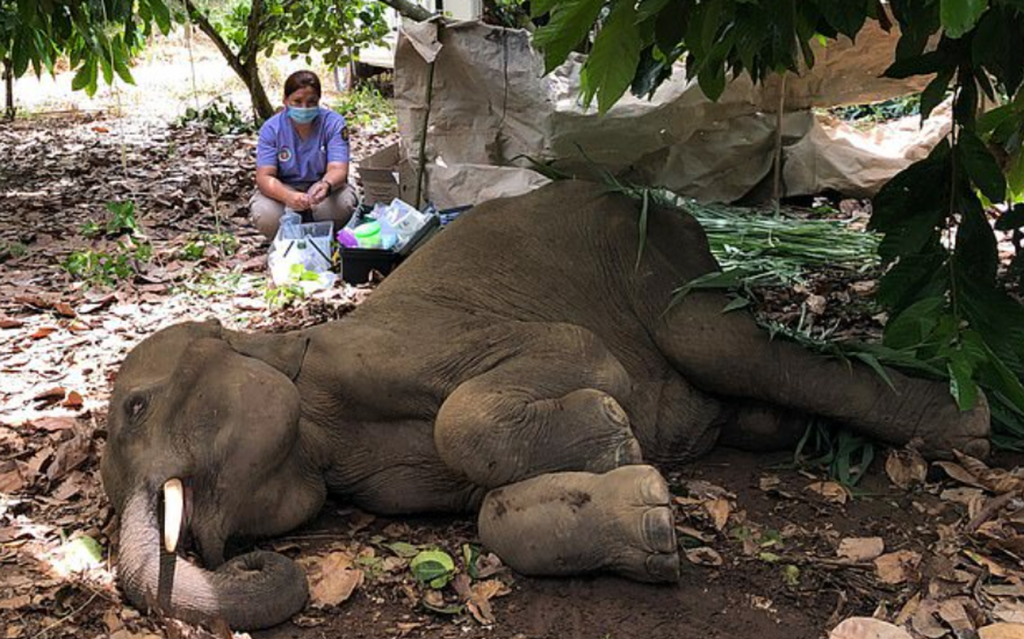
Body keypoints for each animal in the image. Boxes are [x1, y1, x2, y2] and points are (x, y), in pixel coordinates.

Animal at [99, 180, 987, 630]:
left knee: (730, 346)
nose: (251, 559)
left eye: (136, 407)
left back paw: (969, 424)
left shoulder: (393, 345)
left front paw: (616, 433)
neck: (286, 349)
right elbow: (488, 511)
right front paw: (650, 514)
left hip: (662, 269)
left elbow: (547, 371)